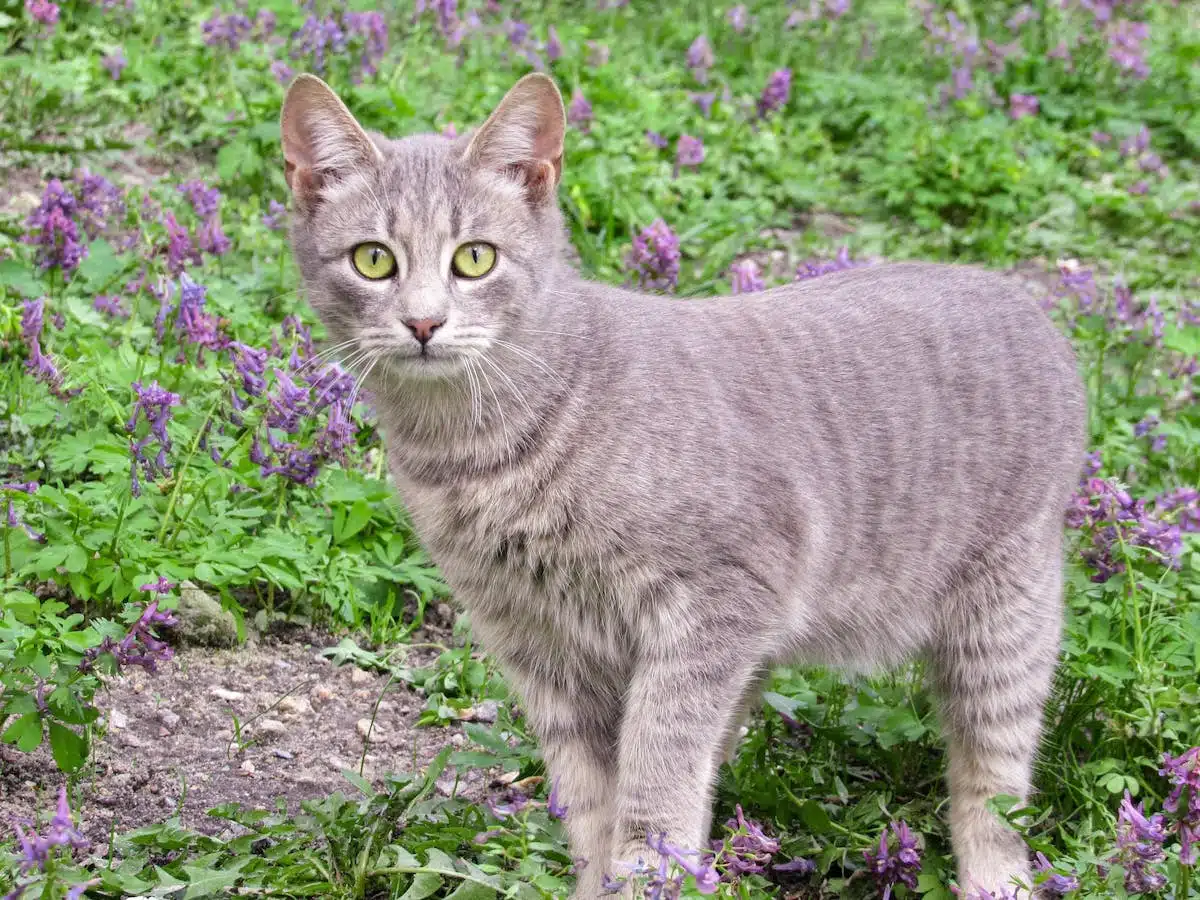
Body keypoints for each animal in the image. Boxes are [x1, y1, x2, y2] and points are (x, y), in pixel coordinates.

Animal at [278, 72, 1089, 900]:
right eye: (373, 261)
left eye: (474, 258)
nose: (423, 323)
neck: (476, 456)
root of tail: (1021, 300)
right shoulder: (535, 640)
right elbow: (592, 802)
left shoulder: (710, 610)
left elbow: (654, 780)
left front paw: (647, 873)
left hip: (1005, 622)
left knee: (993, 789)